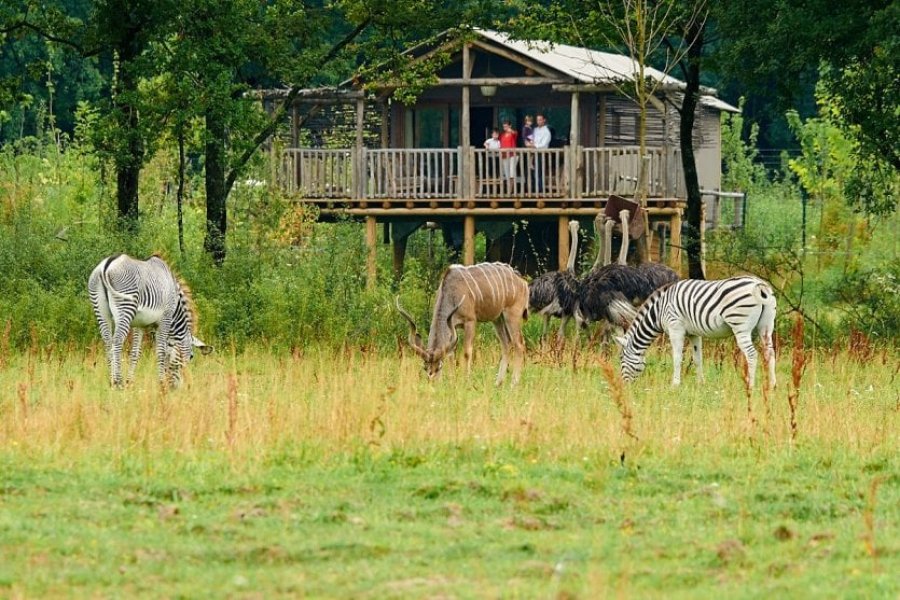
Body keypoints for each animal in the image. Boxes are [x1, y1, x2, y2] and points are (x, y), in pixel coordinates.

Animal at [89, 254, 213, 390]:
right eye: (191, 356)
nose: (177, 387)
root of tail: (106, 265)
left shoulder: (139, 324)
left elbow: (135, 353)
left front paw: (130, 382)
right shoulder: (165, 320)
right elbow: (161, 351)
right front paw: (162, 383)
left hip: (101, 310)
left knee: (107, 342)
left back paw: (111, 381)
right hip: (126, 307)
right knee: (117, 341)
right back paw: (118, 382)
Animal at [616, 276, 776, 390]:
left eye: (621, 359)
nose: (624, 387)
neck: (658, 311)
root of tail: (759, 283)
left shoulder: (675, 328)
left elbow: (677, 358)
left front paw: (675, 385)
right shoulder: (694, 333)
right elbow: (698, 358)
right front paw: (701, 383)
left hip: (740, 326)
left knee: (752, 354)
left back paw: (750, 386)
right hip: (766, 325)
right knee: (770, 352)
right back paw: (772, 386)